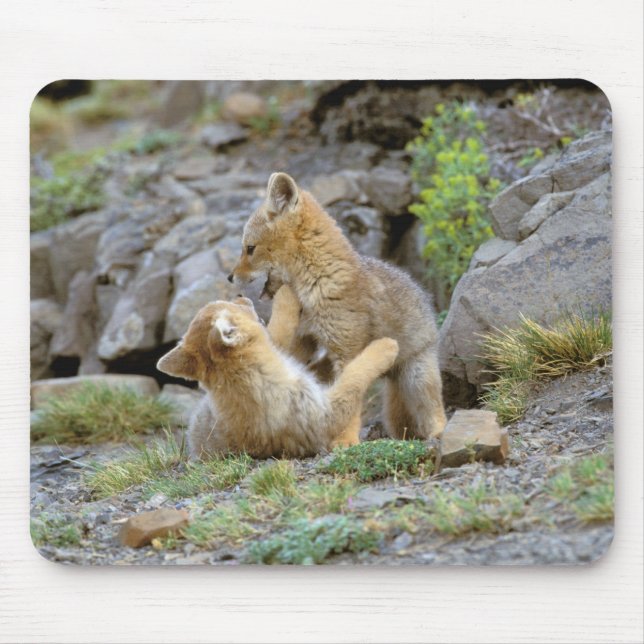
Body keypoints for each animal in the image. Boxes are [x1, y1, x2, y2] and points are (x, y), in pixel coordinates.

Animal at [156, 285, 399, 459]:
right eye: (225, 304)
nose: (240, 294)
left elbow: (280, 334)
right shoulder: (322, 415)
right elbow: (353, 376)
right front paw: (386, 347)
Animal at [228, 172, 447, 445]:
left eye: (250, 248)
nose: (229, 277)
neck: (317, 283)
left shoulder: (347, 352)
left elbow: (352, 392)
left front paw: (345, 441)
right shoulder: (303, 340)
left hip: (418, 379)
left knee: (436, 411)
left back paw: (438, 433)